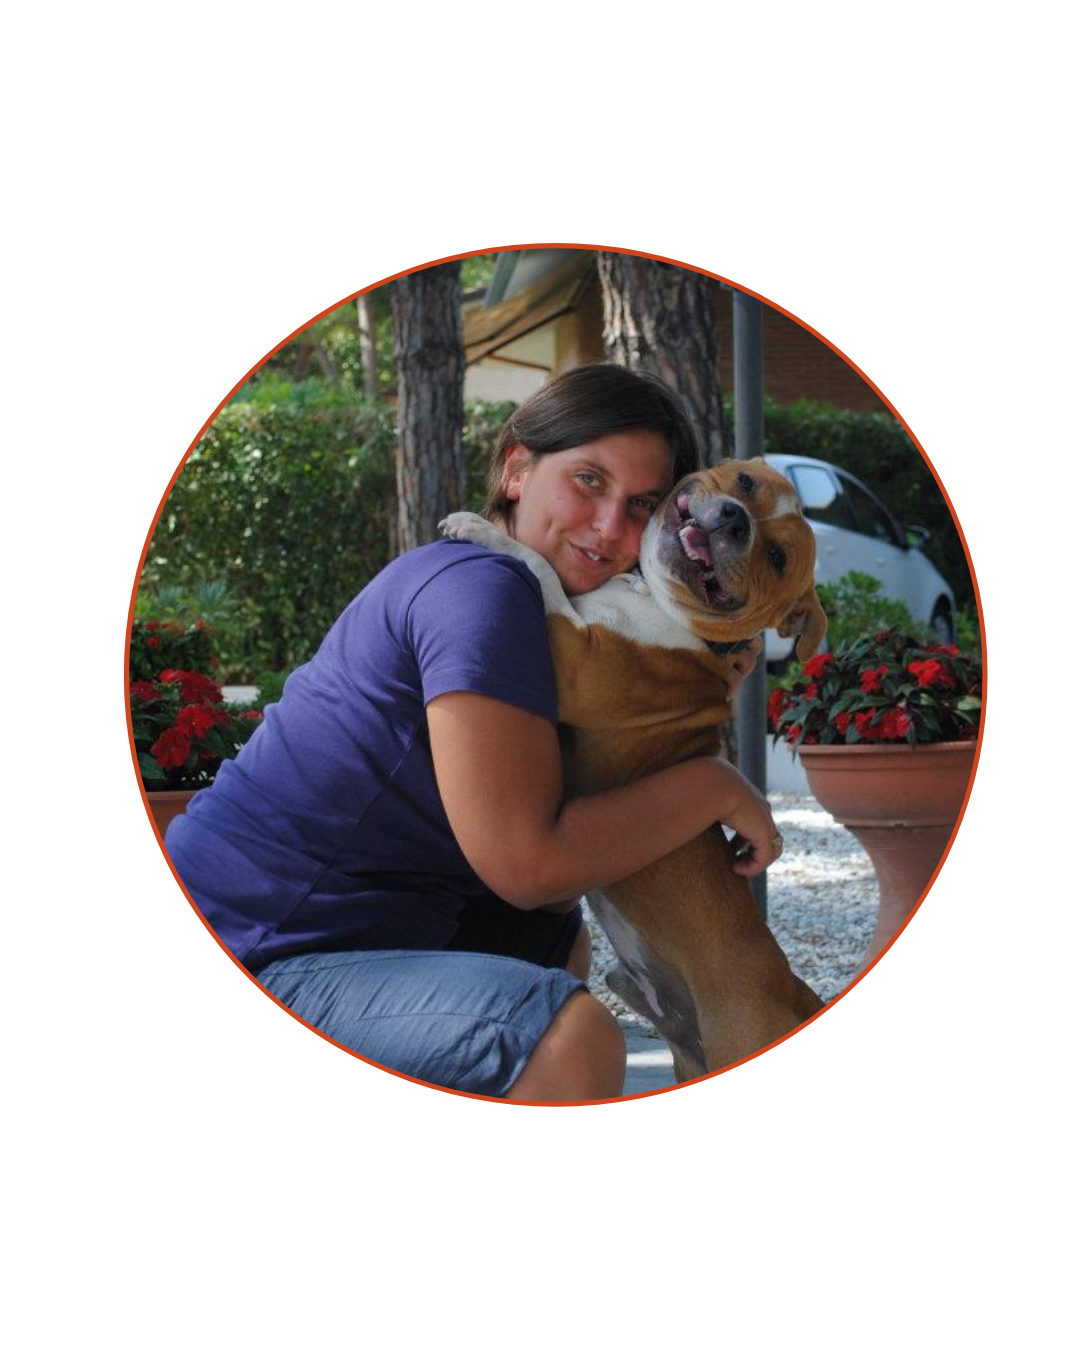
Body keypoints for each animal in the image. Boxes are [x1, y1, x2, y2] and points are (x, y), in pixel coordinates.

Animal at [441, 456, 828, 1079]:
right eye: (746, 483)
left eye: (776, 558)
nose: (735, 519)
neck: (653, 595)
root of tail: (796, 996)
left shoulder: (578, 658)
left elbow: (542, 569)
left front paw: (481, 529)